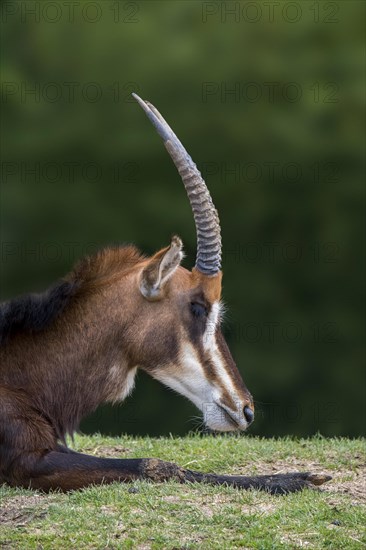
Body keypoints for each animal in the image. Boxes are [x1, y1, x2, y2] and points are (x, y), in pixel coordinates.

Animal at [0, 95, 330, 496]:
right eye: (198, 307)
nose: (246, 410)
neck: (21, 377)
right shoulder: (27, 462)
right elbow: (156, 464)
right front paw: (296, 479)